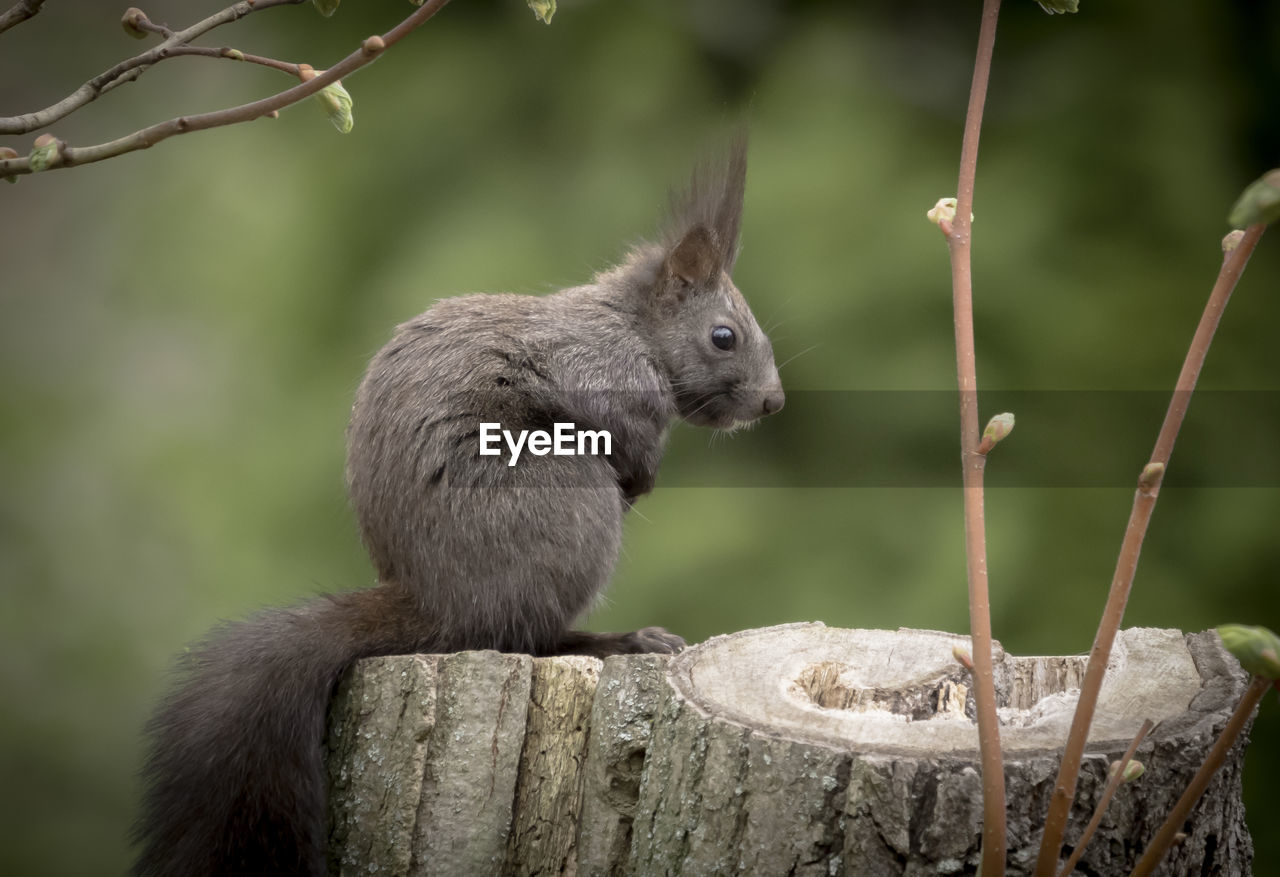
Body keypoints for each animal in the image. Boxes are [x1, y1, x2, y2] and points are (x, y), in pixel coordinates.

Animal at [135, 136, 783, 875]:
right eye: (724, 336)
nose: (773, 401)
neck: (632, 326)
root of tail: (431, 602)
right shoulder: (598, 371)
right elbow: (622, 434)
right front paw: (642, 476)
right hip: (568, 512)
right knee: (523, 636)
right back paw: (620, 640)